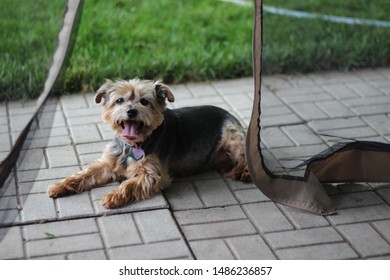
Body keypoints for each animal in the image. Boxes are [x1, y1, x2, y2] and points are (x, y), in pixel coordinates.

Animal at [48, 77, 250, 207]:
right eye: (119, 100)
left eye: (144, 102)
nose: (131, 111)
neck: (131, 146)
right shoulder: (108, 163)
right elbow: (85, 174)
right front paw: (60, 186)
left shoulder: (153, 175)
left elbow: (128, 184)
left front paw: (112, 196)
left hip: (233, 137)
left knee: (244, 156)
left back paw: (243, 171)